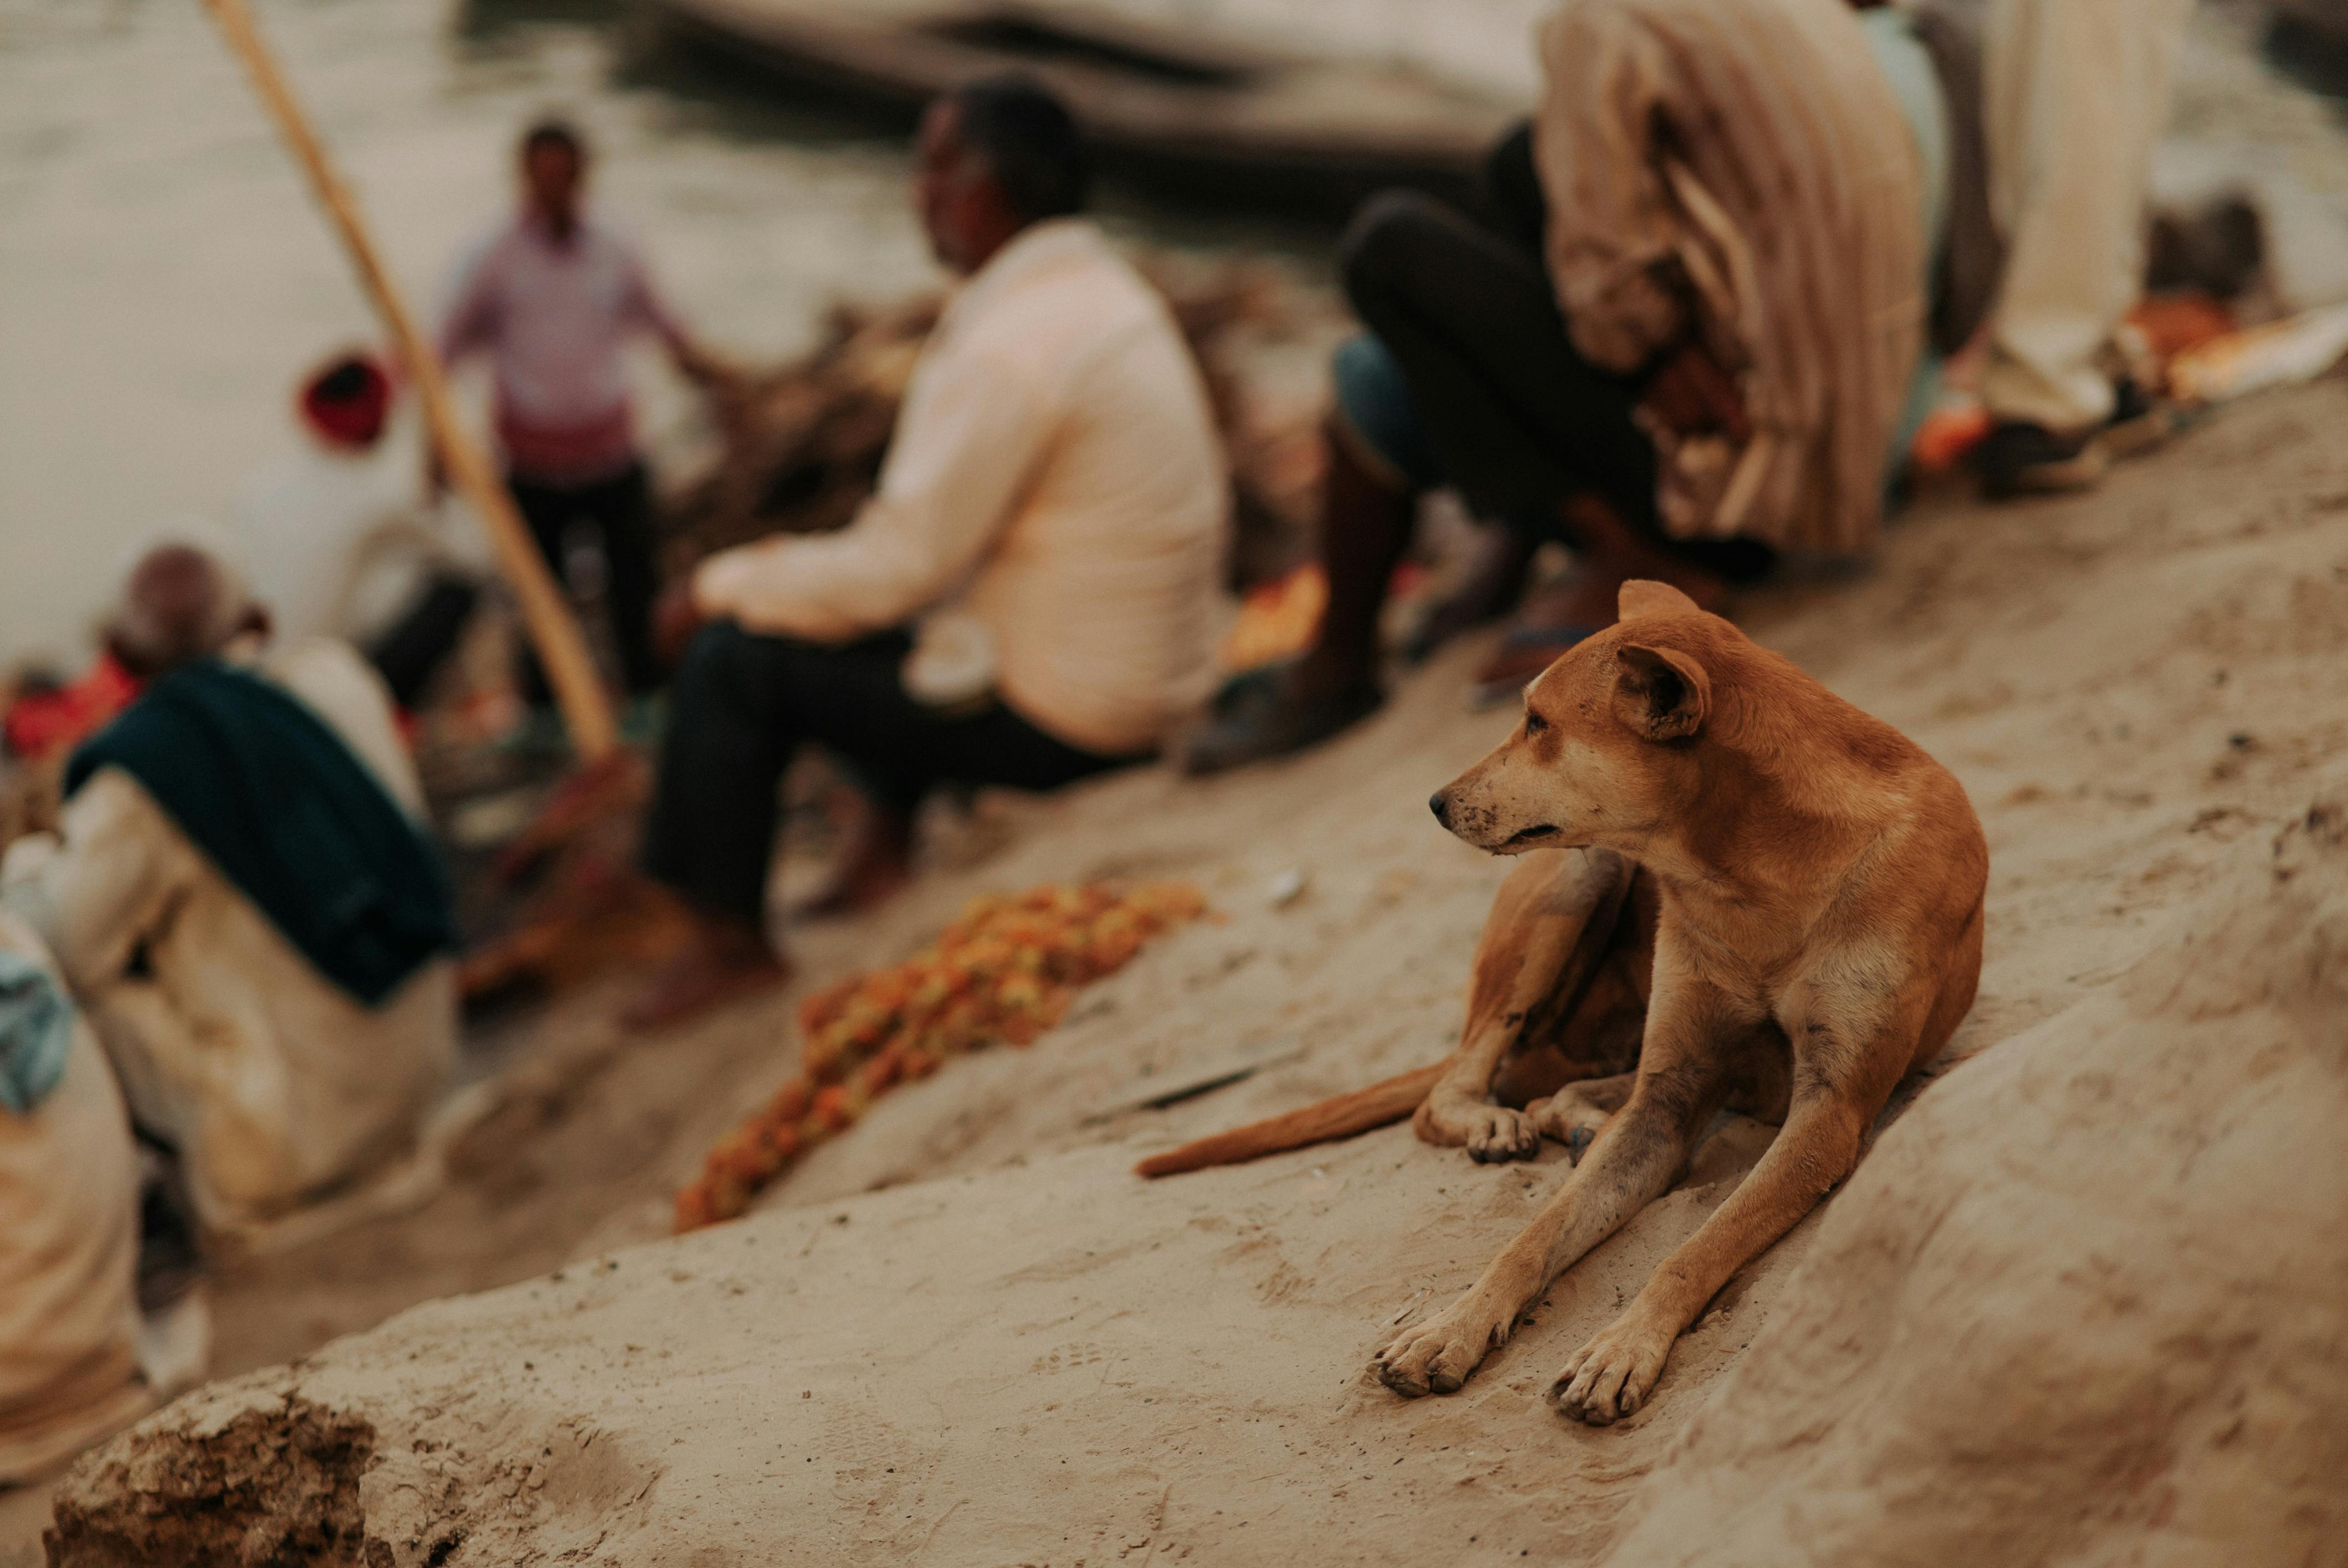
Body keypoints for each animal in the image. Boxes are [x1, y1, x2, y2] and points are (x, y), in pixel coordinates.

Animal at [1136, 582, 1981, 1427]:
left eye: (1539, 723)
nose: (1435, 802)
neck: (1753, 870)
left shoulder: (1826, 1115)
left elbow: (1693, 1249)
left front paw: (1621, 1349)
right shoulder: (1666, 1100)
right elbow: (1531, 1238)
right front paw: (1451, 1327)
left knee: (1559, 1087)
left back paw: (1569, 1117)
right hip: (1582, 878)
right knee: (1455, 1089)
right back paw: (1500, 1122)